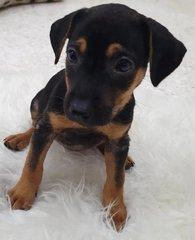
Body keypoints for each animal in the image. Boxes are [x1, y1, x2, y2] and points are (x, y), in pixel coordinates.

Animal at [3, 2, 186, 230]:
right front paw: (22, 193)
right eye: (72, 54)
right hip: (37, 103)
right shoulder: (47, 126)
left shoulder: (119, 139)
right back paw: (19, 138)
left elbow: (116, 179)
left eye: (124, 65)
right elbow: (33, 163)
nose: (79, 110)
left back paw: (122, 158)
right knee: (33, 124)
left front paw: (115, 210)